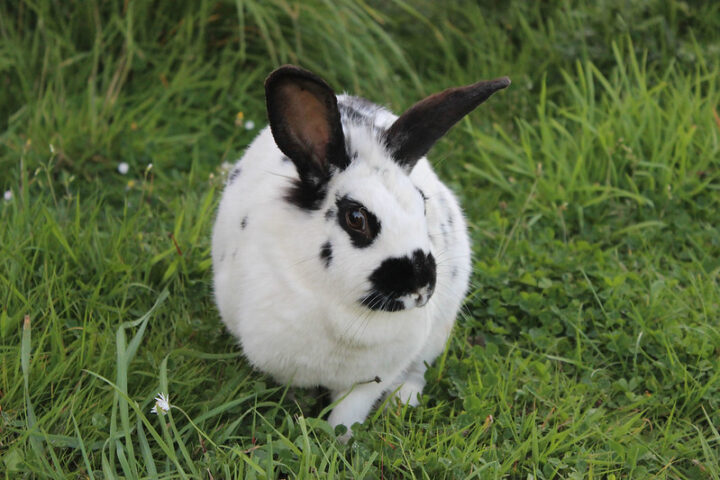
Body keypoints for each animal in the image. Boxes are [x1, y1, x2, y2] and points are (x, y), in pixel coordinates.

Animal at [212, 65, 509, 438]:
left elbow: (348, 414)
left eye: (422, 203)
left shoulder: (370, 378)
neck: (344, 312)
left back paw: (403, 400)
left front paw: (339, 441)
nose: (421, 289)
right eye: (357, 219)